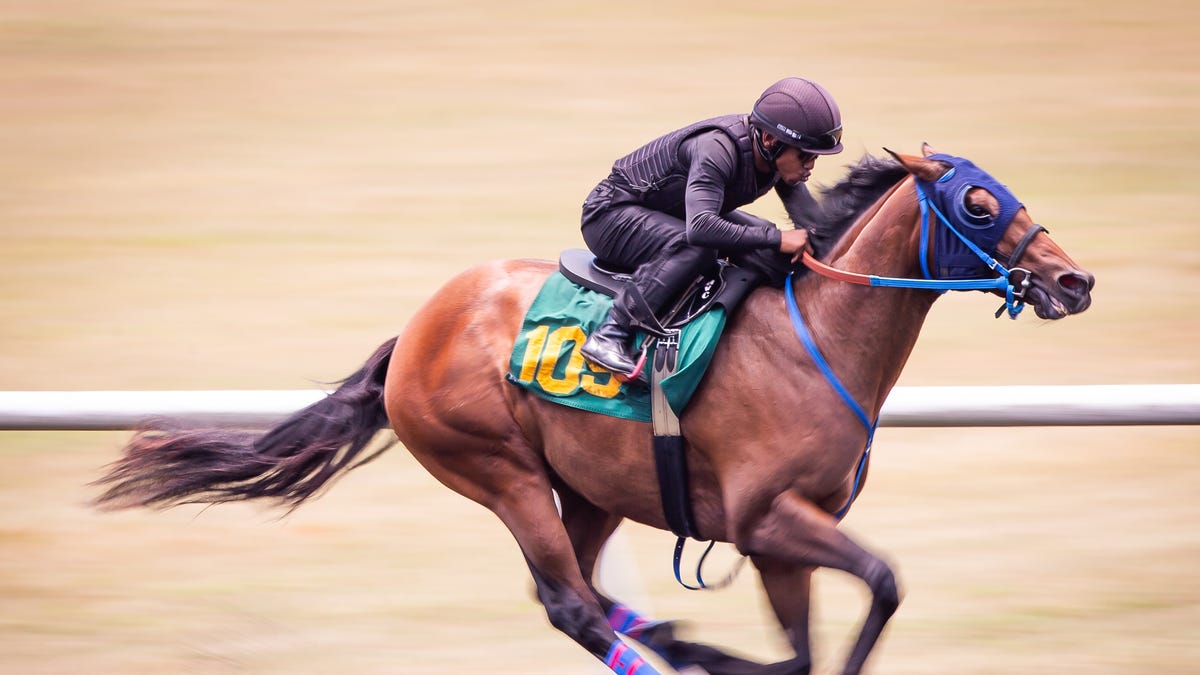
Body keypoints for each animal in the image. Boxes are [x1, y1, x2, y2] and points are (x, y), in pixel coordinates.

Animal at [94, 144, 1094, 675]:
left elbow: (811, 647)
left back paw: (666, 633)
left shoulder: (781, 537)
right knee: (568, 603)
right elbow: (880, 583)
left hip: (591, 487)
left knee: (573, 590)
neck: (817, 334)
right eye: (978, 200)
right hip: (498, 468)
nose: (1074, 279)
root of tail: (413, 330)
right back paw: (667, 643)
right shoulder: (768, 517)